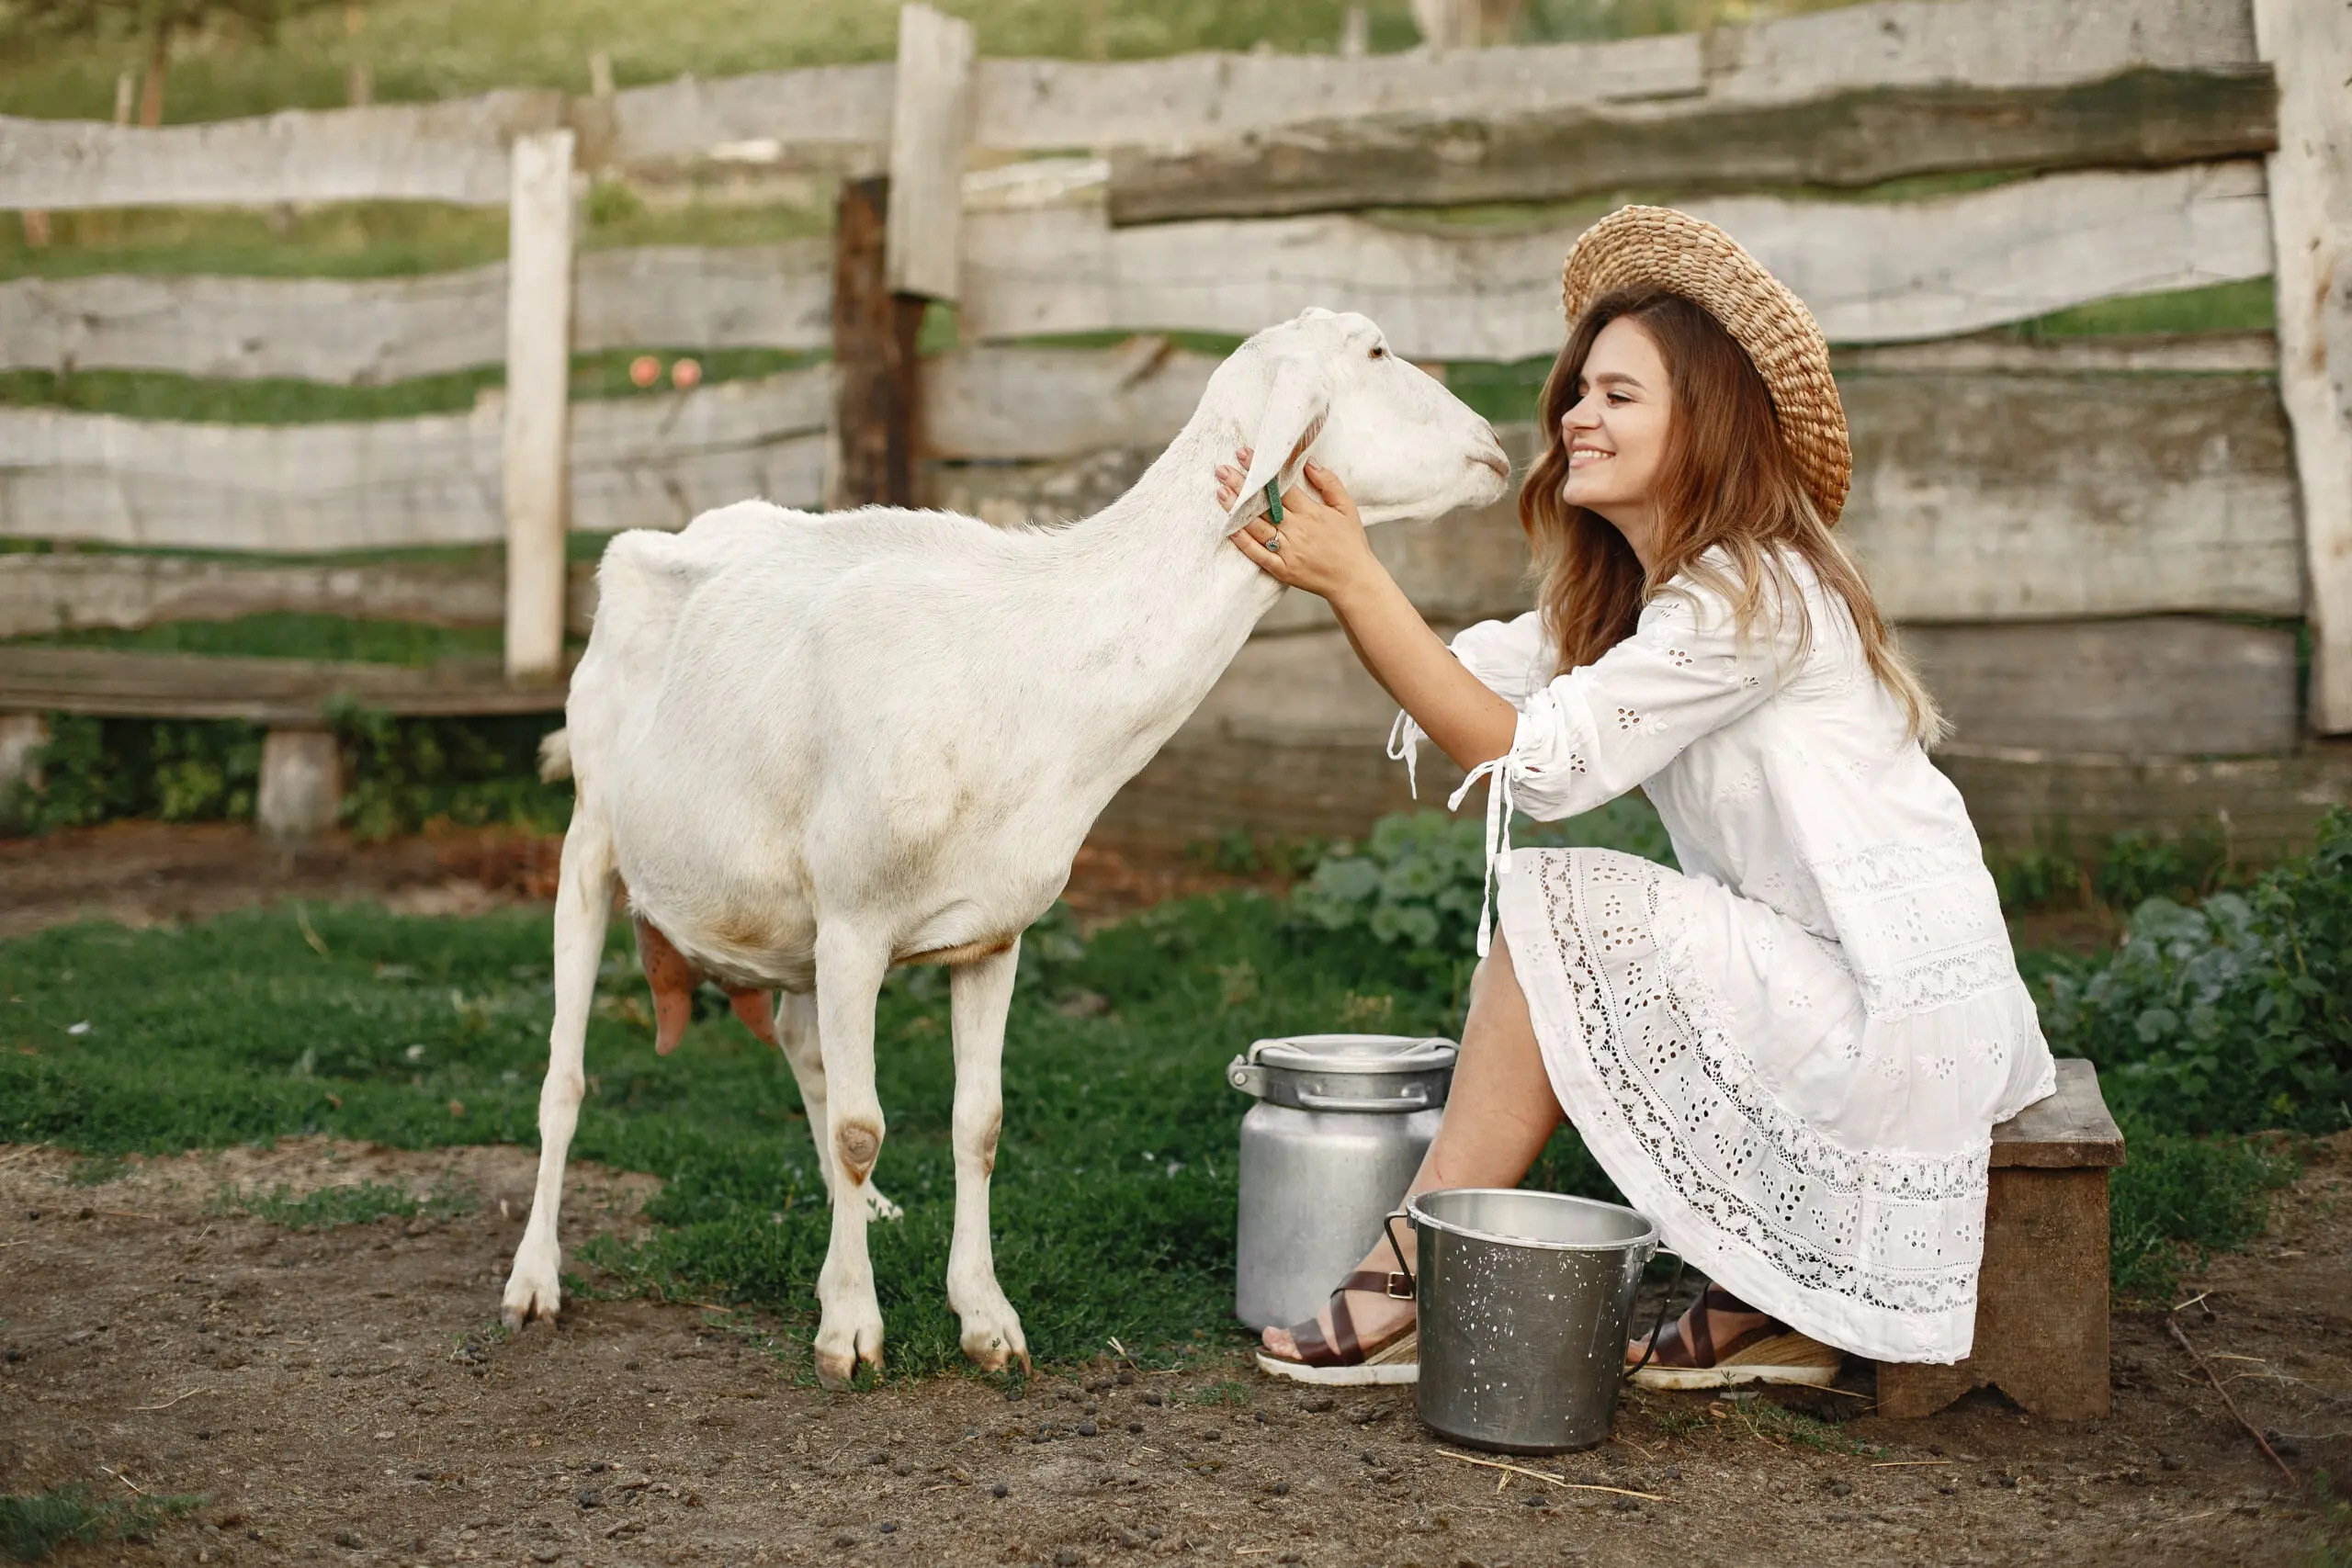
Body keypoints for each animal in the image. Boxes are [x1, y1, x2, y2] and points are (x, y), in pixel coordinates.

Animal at [505, 305, 1514, 1382]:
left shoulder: (990, 934)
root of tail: (663, 536)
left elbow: (977, 1123)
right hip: (593, 838)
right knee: (565, 1075)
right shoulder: (856, 921)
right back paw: (534, 1281)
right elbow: (863, 1125)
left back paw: (864, 1215)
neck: (1033, 658)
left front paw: (985, 1319)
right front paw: (851, 1330)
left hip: (788, 921)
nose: (1495, 449)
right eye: (1375, 353)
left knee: (798, 1043)